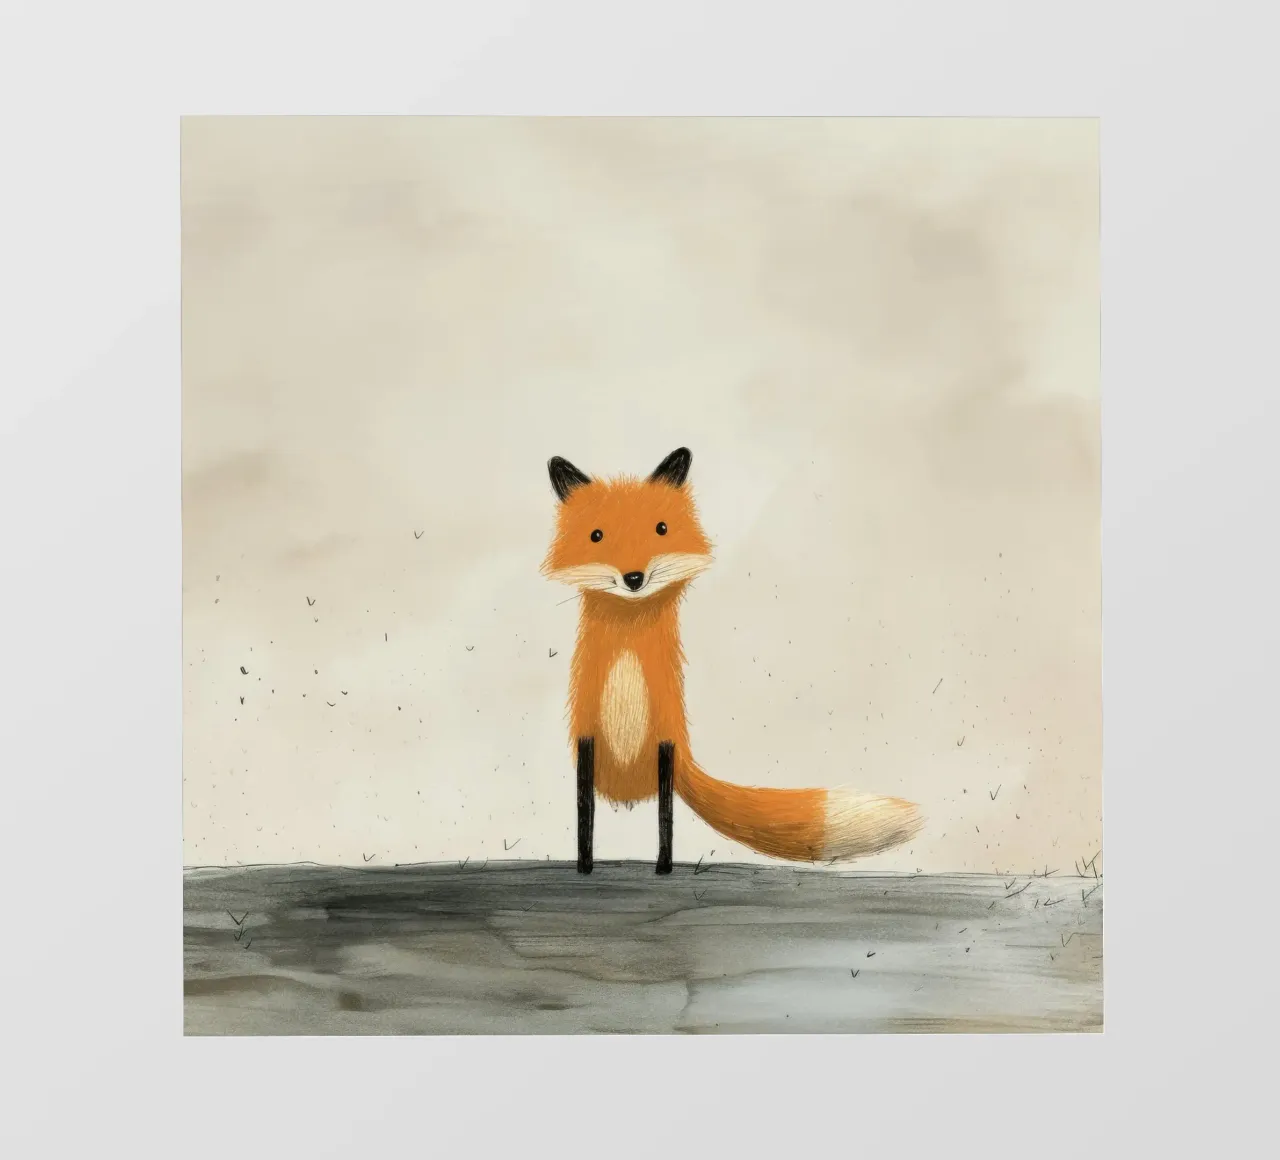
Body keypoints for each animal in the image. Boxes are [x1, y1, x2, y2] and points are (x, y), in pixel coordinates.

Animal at [542, 446, 923, 874]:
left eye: (661, 529)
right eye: (597, 535)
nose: (634, 578)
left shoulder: (665, 743)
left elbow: (665, 819)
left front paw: (663, 869)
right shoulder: (587, 738)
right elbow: (584, 815)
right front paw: (584, 867)